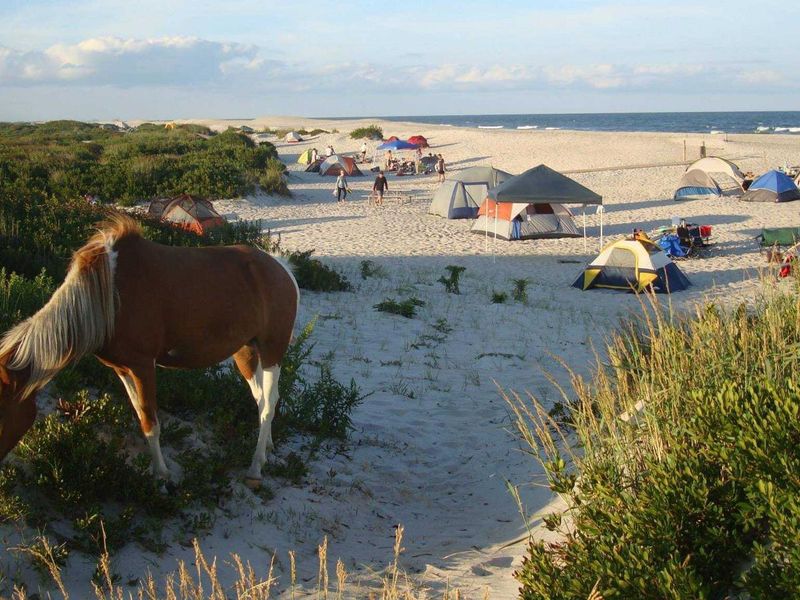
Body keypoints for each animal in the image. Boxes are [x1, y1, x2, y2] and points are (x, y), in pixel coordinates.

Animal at [0, 214, 299, 485]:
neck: (106, 297)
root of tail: (281, 268)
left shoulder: (143, 366)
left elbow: (151, 422)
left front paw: (162, 476)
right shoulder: (122, 369)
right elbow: (141, 415)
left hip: (272, 351)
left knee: (269, 403)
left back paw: (256, 467)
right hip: (245, 352)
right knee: (261, 399)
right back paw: (267, 447)